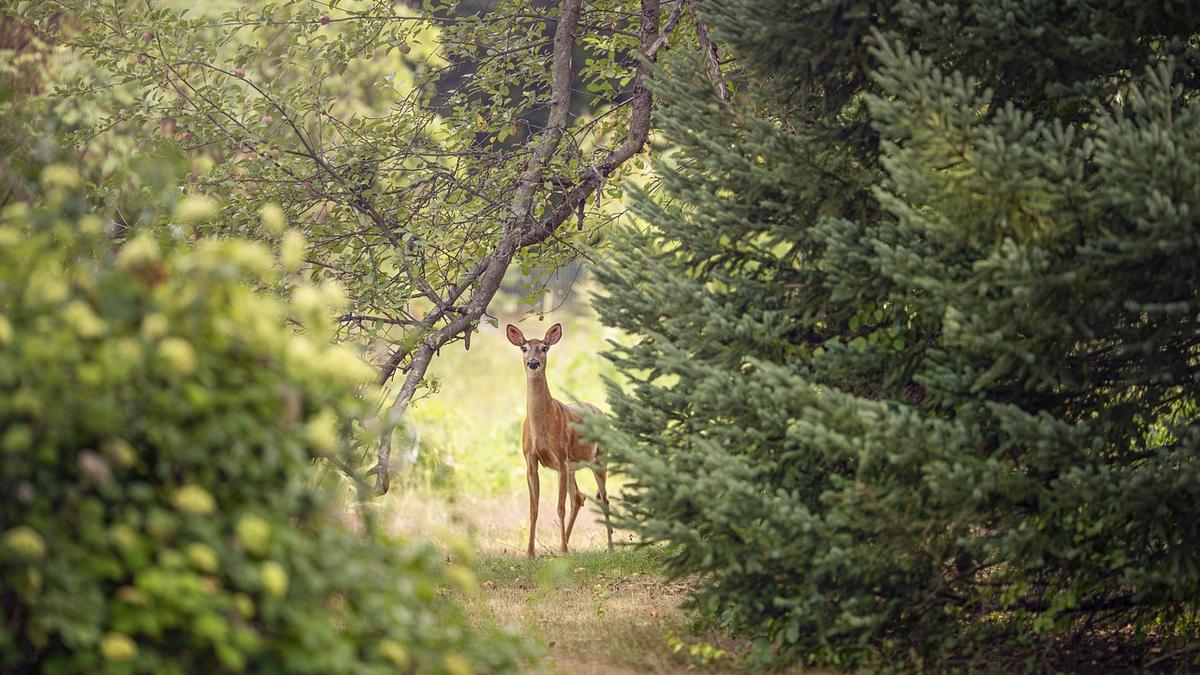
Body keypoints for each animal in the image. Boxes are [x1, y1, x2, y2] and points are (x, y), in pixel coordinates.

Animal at [508, 319, 619, 557]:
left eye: (544, 348)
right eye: (524, 348)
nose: (533, 363)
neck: (542, 426)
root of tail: (601, 413)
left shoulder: (560, 457)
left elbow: (559, 507)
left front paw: (561, 551)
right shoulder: (530, 460)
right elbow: (533, 508)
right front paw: (530, 552)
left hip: (599, 458)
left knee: (603, 499)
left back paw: (609, 546)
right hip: (573, 466)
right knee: (578, 497)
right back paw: (565, 543)